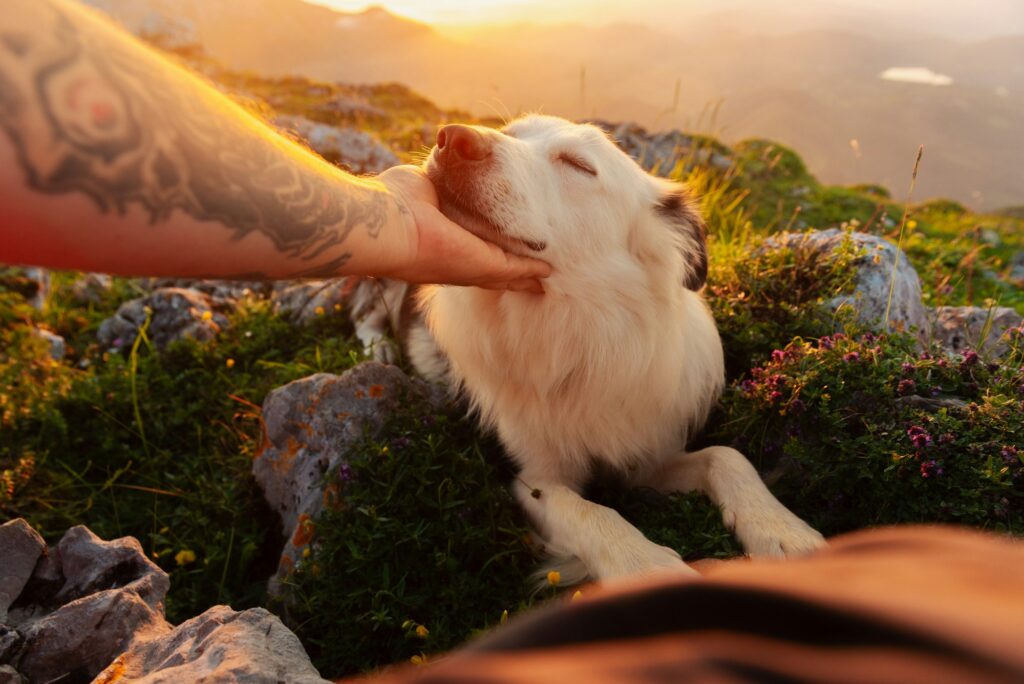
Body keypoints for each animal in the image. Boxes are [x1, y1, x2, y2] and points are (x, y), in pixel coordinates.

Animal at [391, 116, 823, 581]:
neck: (578, 330)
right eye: (509, 131)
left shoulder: (647, 453)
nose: (452, 137)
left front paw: (781, 529)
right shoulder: (528, 476)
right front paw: (647, 567)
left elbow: (726, 456)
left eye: (579, 165)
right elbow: (586, 511)